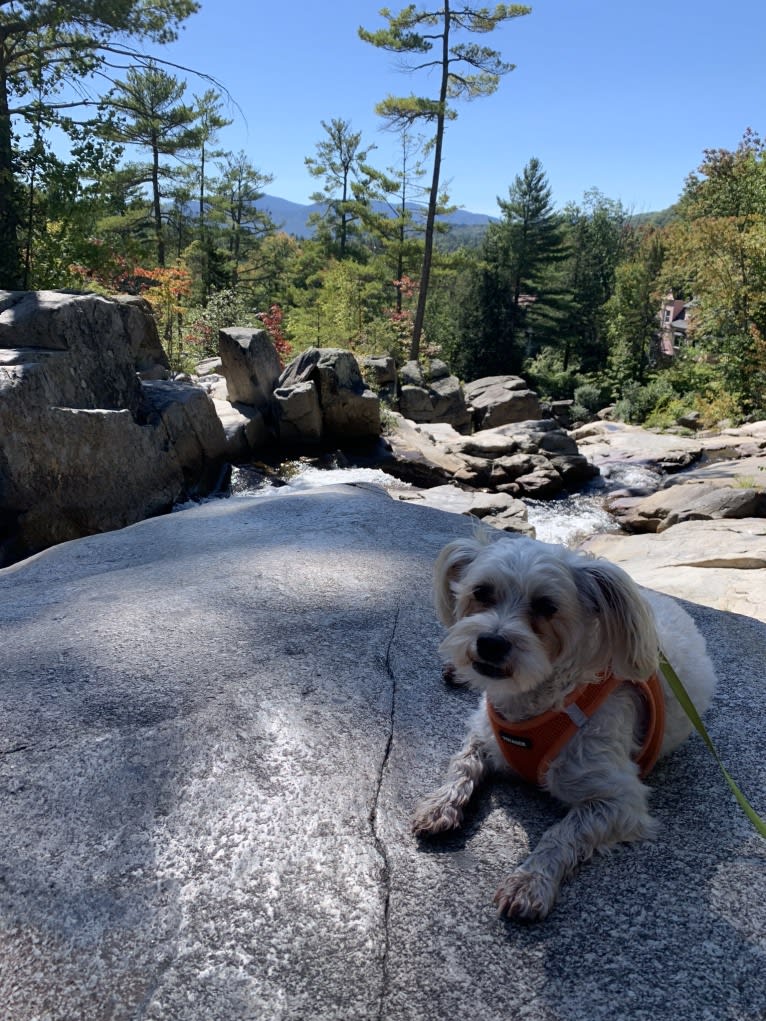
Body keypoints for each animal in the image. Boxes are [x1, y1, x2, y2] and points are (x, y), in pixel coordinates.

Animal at [414, 535, 719, 927]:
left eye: (547, 606)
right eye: (481, 592)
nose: (490, 643)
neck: (539, 701)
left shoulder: (619, 800)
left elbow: (561, 833)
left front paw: (530, 881)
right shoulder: (483, 731)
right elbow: (462, 764)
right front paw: (440, 804)